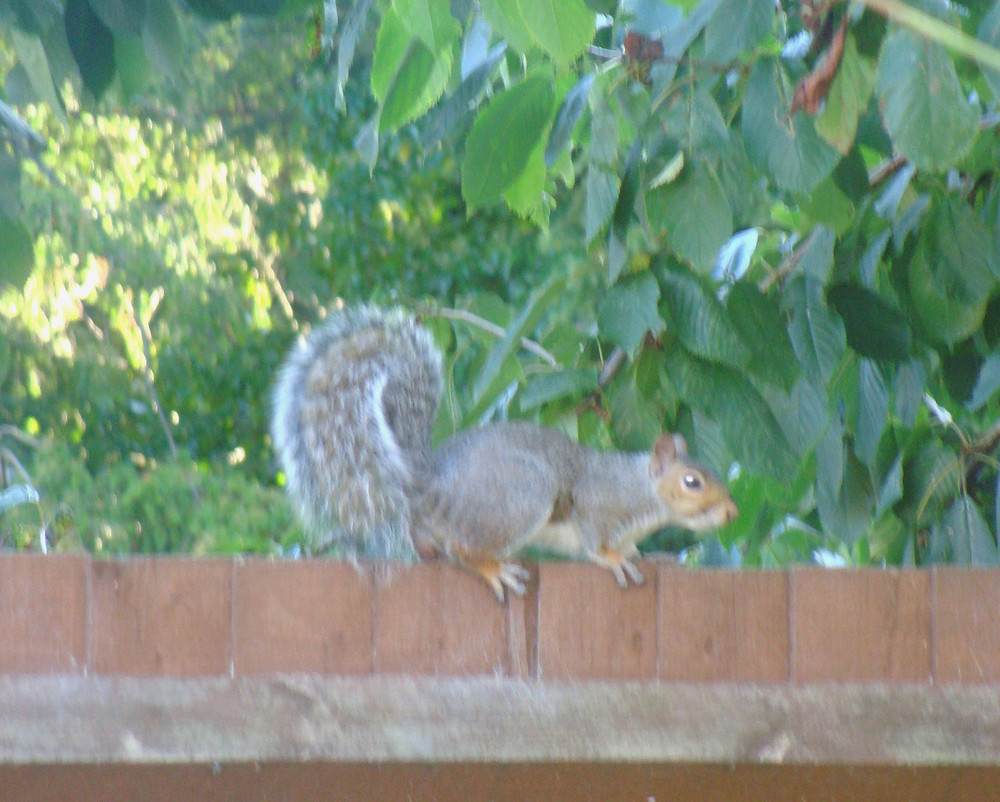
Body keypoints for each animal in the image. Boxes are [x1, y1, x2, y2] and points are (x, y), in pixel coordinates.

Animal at [270, 304, 740, 600]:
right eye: (692, 482)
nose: (732, 513)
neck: (640, 491)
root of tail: (426, 479)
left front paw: (651, 555)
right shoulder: (598, 504)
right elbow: (594, 540)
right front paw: (613, 559)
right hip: (523, 494)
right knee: (461, 551)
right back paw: (493, 568)